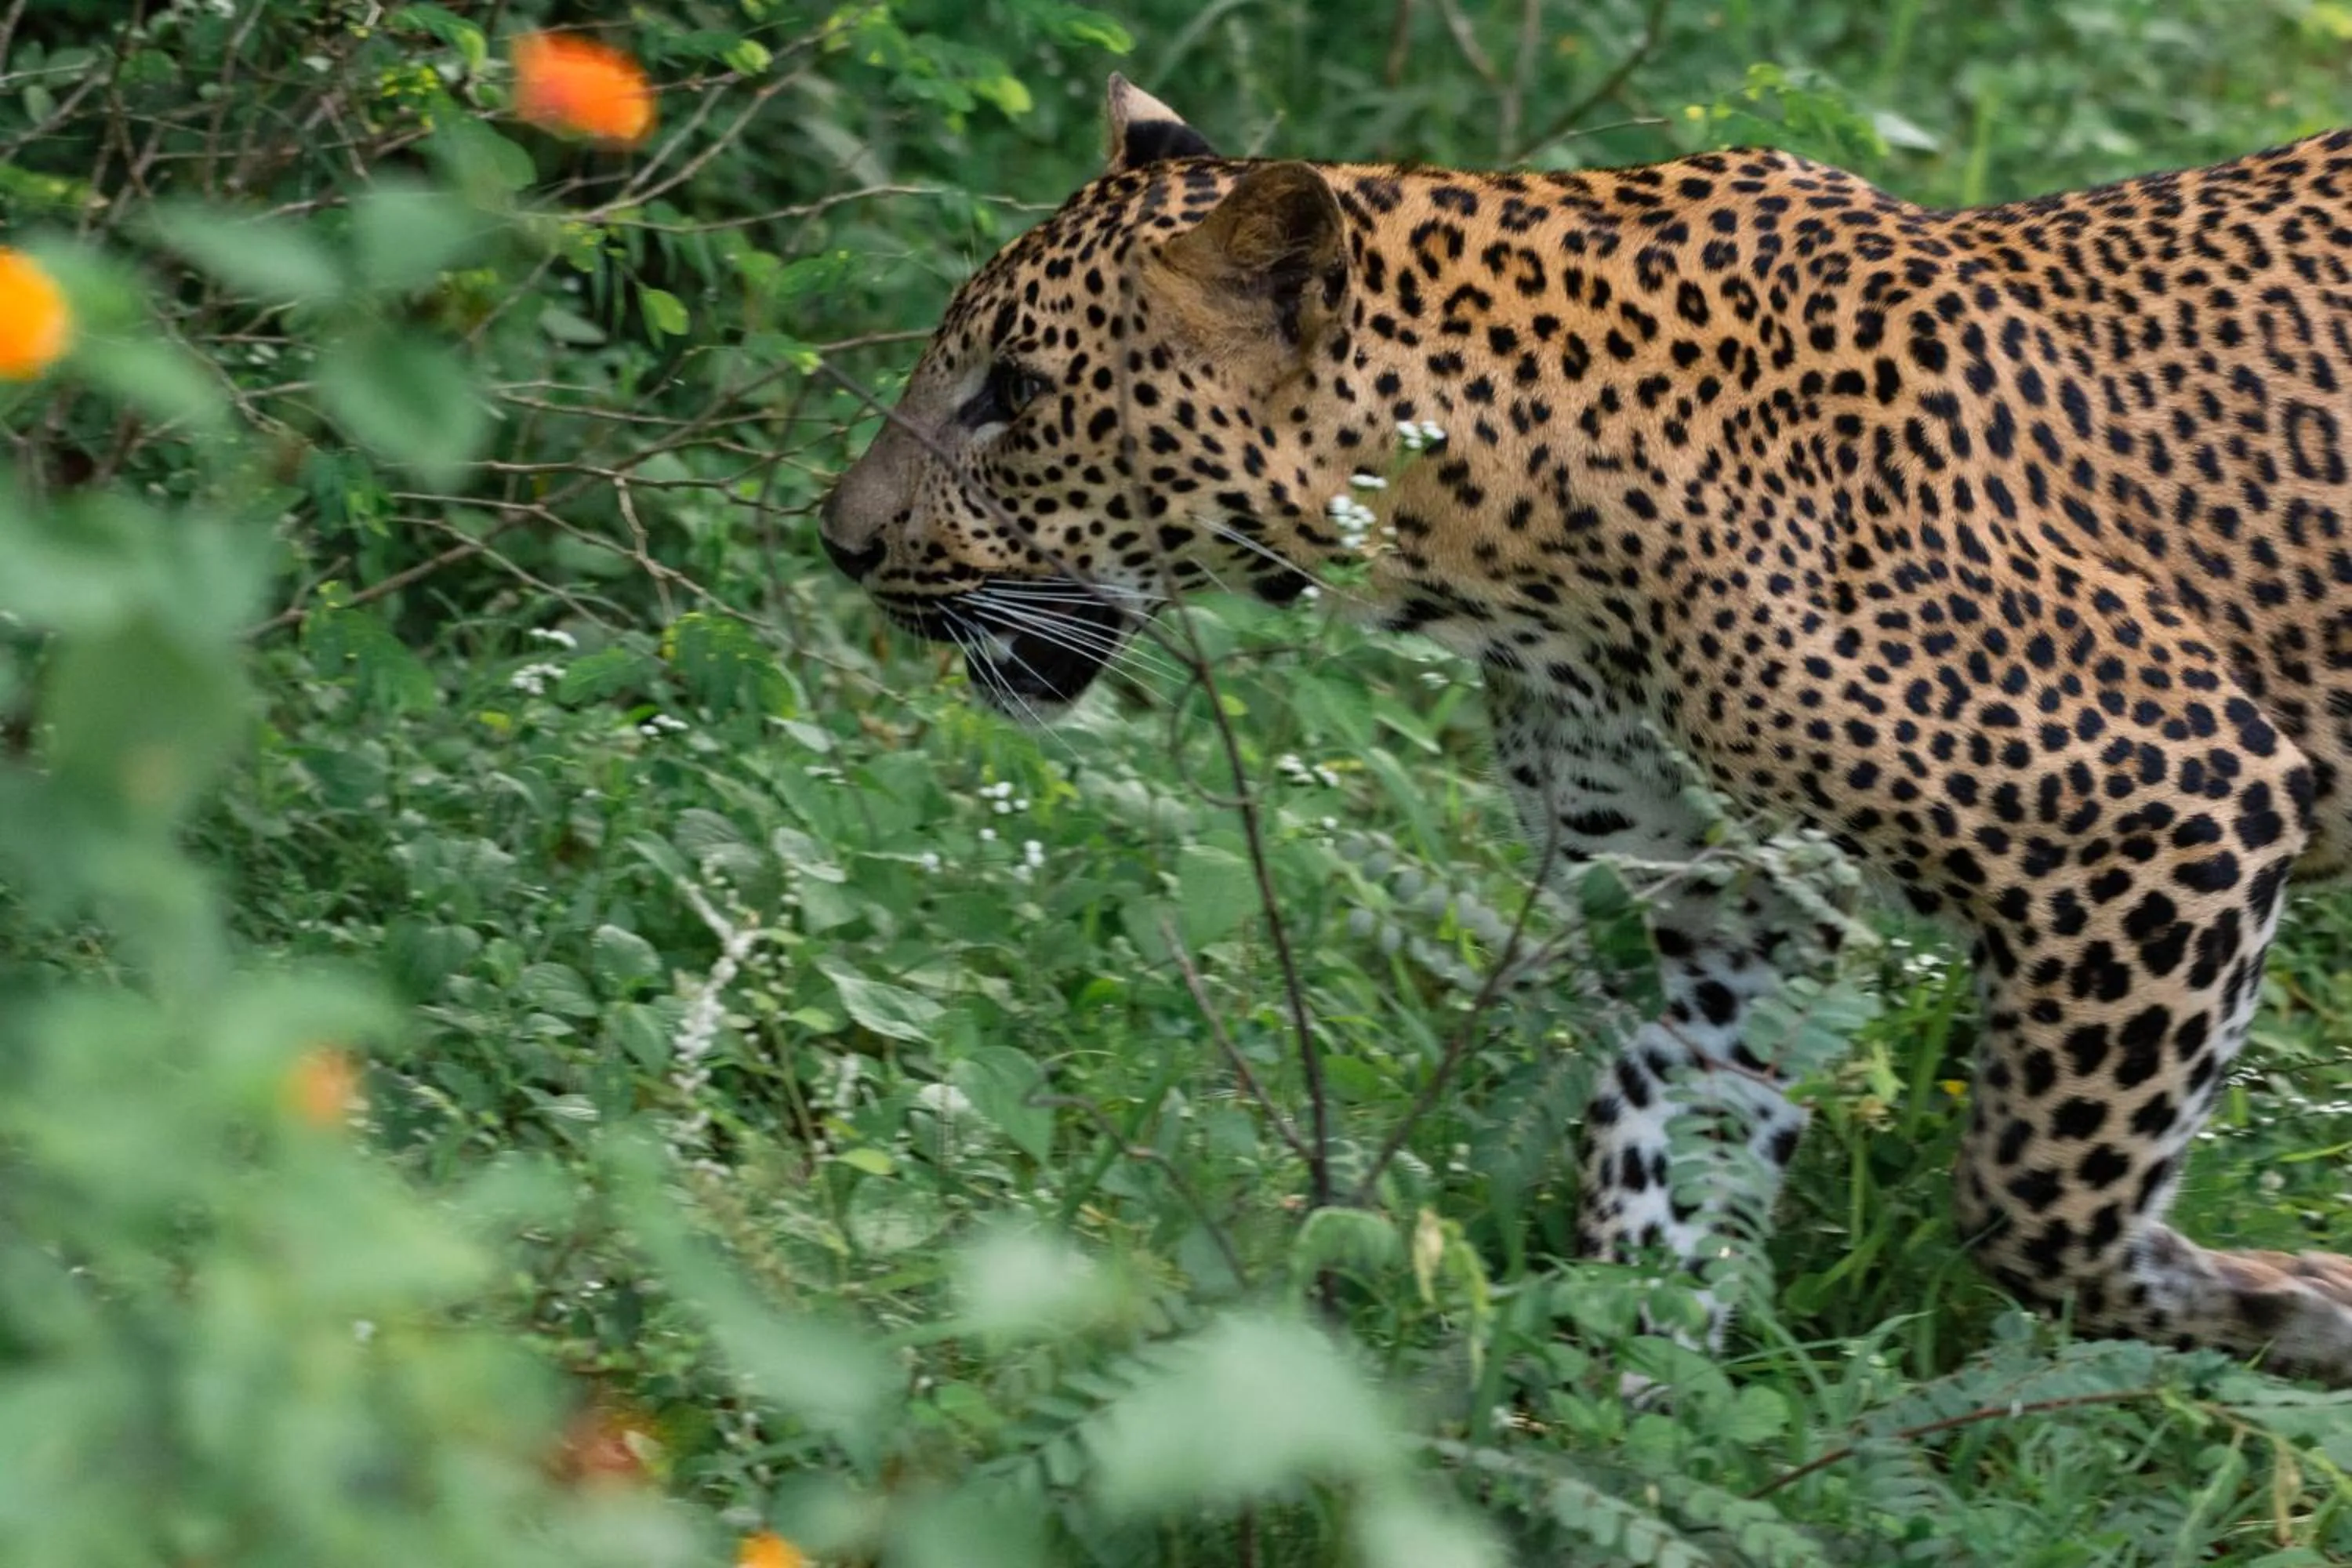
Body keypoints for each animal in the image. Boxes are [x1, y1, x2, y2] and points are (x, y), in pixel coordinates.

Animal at [820, 73, 2352, 1384]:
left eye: (1015, 393)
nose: (837, 542)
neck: (1511, 539)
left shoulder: (2168, 802)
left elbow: (2036, 1196)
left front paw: (2297, 1305)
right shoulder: (1714, 911)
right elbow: (1663, 1161)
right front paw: (1623, 1422)